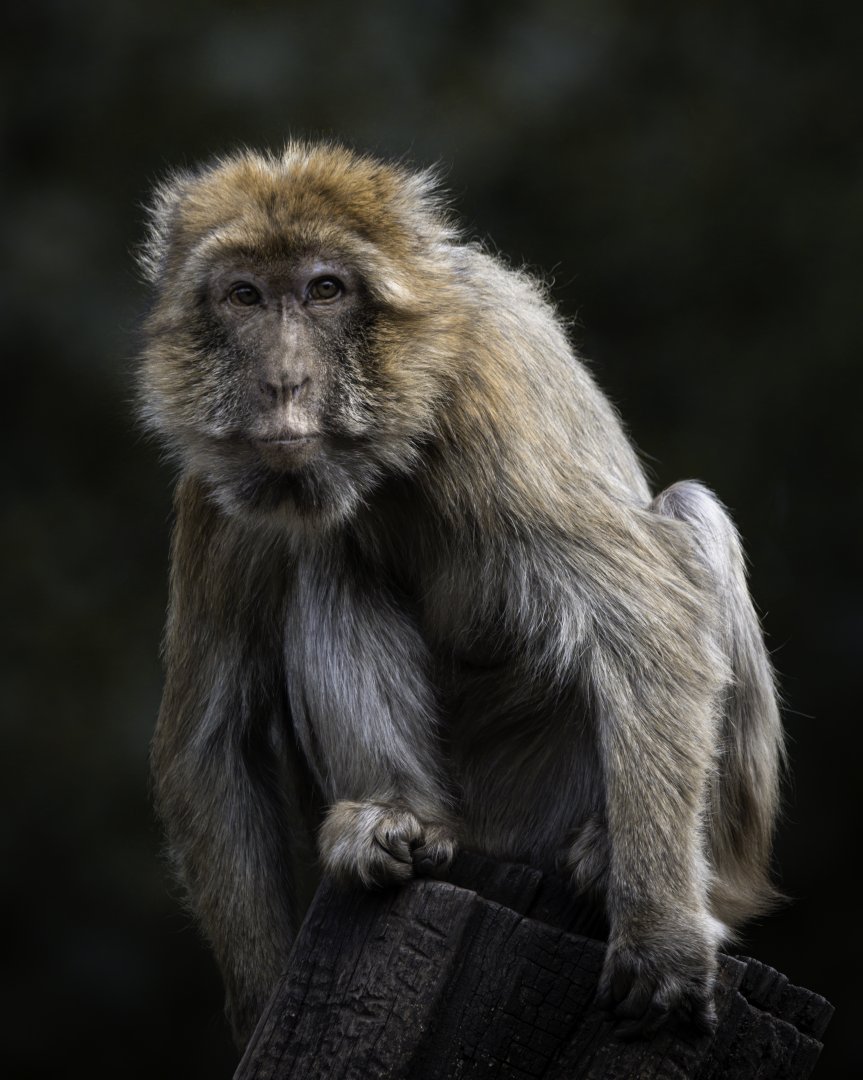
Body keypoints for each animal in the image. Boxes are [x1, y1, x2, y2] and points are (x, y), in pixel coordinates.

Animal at [138, 142, 784, 1048]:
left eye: (325, 290)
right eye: (245, 296)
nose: (284, 382)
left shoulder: (488, 389)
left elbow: (646, 613)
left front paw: (660, 938)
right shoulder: (217, 472)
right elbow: (211, 745)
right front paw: (264, 1008)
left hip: (544, 790)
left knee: (689, 513)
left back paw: (618, 856)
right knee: (327, 559)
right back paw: (395, 820)